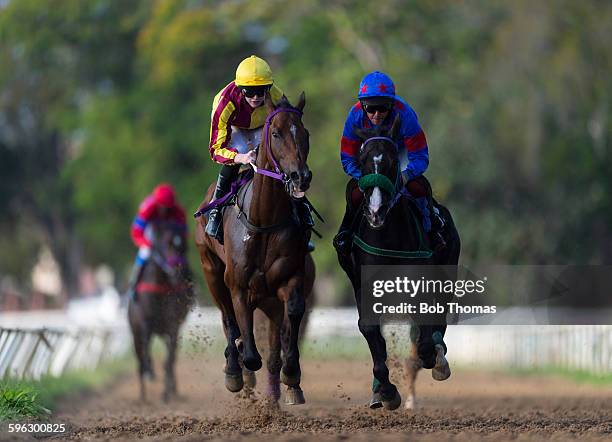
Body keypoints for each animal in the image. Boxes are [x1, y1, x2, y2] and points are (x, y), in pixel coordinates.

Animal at [128, 219, 195, 402]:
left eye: (183, 245)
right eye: (167, 243)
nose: (180, 271)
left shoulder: (172, 325)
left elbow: (169, 359)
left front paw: (166, 393)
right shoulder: (144, 323)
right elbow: (146, 352)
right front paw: (150, 374)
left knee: (170, 358)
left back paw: (172, 389)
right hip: (136, 333)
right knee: (140, 358)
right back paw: (143, 394)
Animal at [197, 92, 316, 404]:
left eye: (305, 133)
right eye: (275, 133)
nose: (300, 176)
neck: (264, 221)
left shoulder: (291, 278)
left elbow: (292, 317)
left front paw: (292, 374)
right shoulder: (238, 285)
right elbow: (248, 350)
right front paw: (237, 368)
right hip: (211, 271)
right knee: (229, 320)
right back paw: (234, 368)